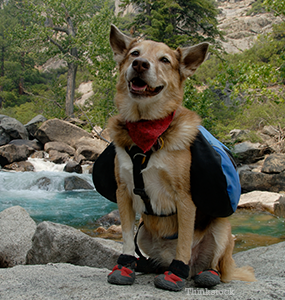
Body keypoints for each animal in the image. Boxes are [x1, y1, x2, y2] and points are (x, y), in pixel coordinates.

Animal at [106, 24, 255, 292]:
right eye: (134, 54)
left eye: (164, 60)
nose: (140, 64)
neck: (148, 131)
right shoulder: (123, 191)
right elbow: (125, 237)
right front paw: (124, 266)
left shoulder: (185, 198)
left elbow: (184, 241)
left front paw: (175, 275)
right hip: (145, 235)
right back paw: (157, 266)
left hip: (221, 228)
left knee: (211, 264)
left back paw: (201, 274)